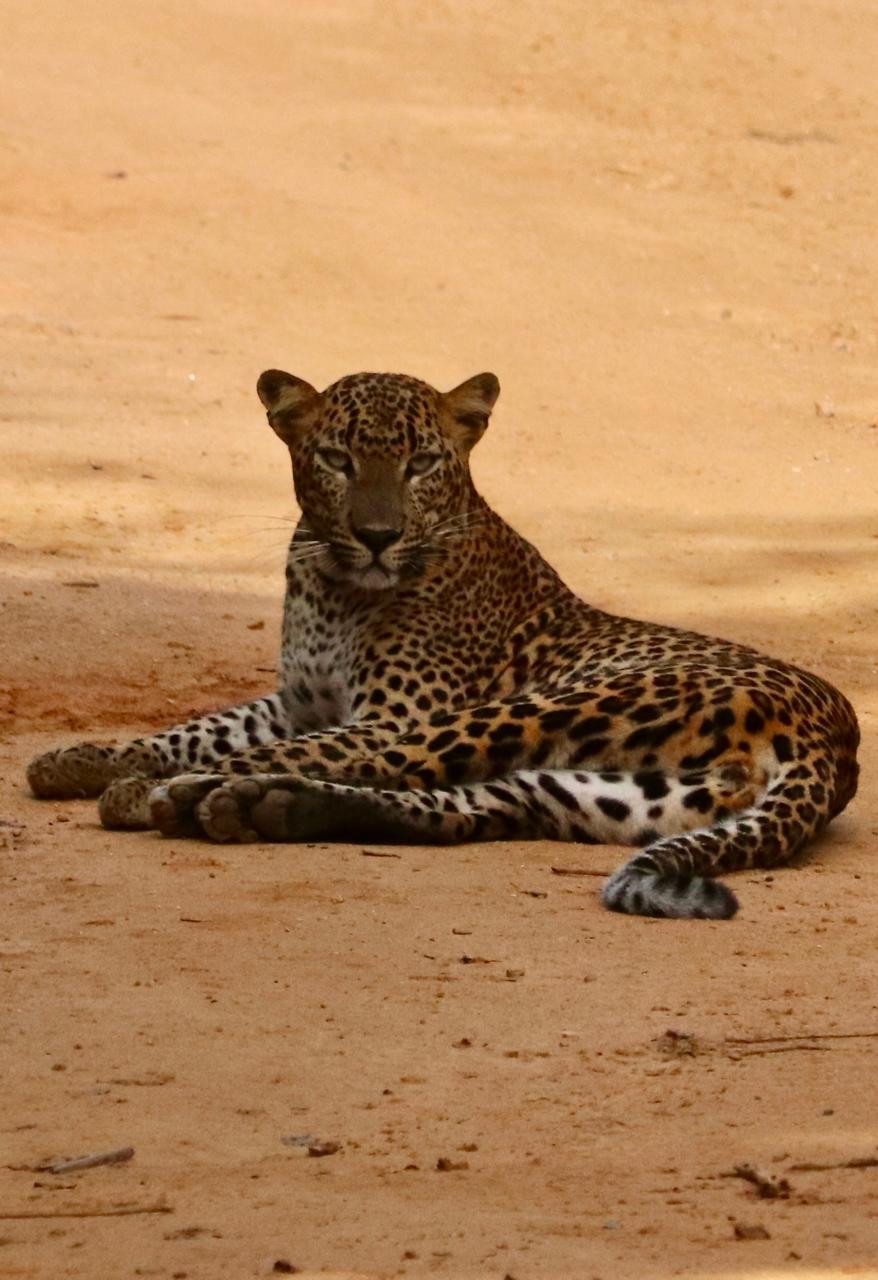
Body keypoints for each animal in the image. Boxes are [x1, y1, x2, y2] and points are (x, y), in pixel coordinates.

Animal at [27, 367, 860, 919]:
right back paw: (257, 809)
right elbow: (199, 726)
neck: (332, 583)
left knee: (384, 765)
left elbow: (284, 744)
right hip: (599, 793)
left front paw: (129, 779)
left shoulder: (385, 712)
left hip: (533, 710)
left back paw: (189, 797)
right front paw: (80, 758)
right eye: (337, 460)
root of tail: (833, 736)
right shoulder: (296, 700)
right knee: (452, 811)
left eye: (421, 463)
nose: (377, 535)